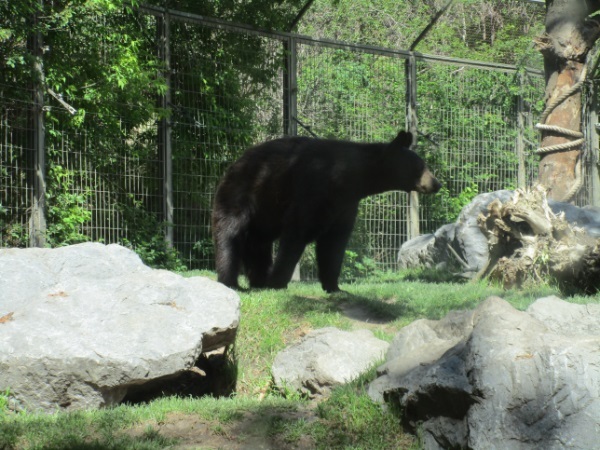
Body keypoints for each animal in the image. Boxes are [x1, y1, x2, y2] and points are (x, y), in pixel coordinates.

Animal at [211, 130, 440, 292]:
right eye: (420, 166)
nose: (436, 183)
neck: (347, 179)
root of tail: (232, 166)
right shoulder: (313, 188)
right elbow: (297, 232)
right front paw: (277, 283)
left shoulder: (345, 204)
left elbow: (334, 242)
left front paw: (334, 287)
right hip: (243, 194)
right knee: (230, 234)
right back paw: (231, 281)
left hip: (265, 214)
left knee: (258, 245)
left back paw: (258, 280)